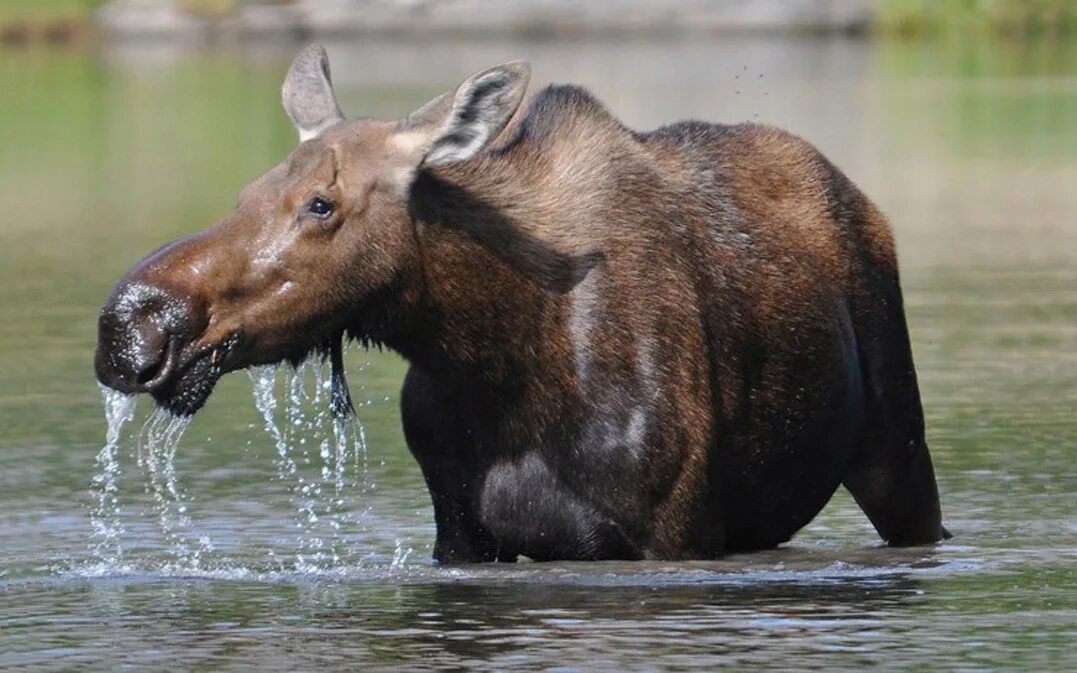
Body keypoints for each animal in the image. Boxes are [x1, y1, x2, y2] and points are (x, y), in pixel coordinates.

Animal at [96, 46, 947, 559]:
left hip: (894, 445)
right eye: (248, 191)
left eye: (320, 204)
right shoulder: (459, 529)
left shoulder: (673, 532)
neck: (492, 349)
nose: (130, 322)